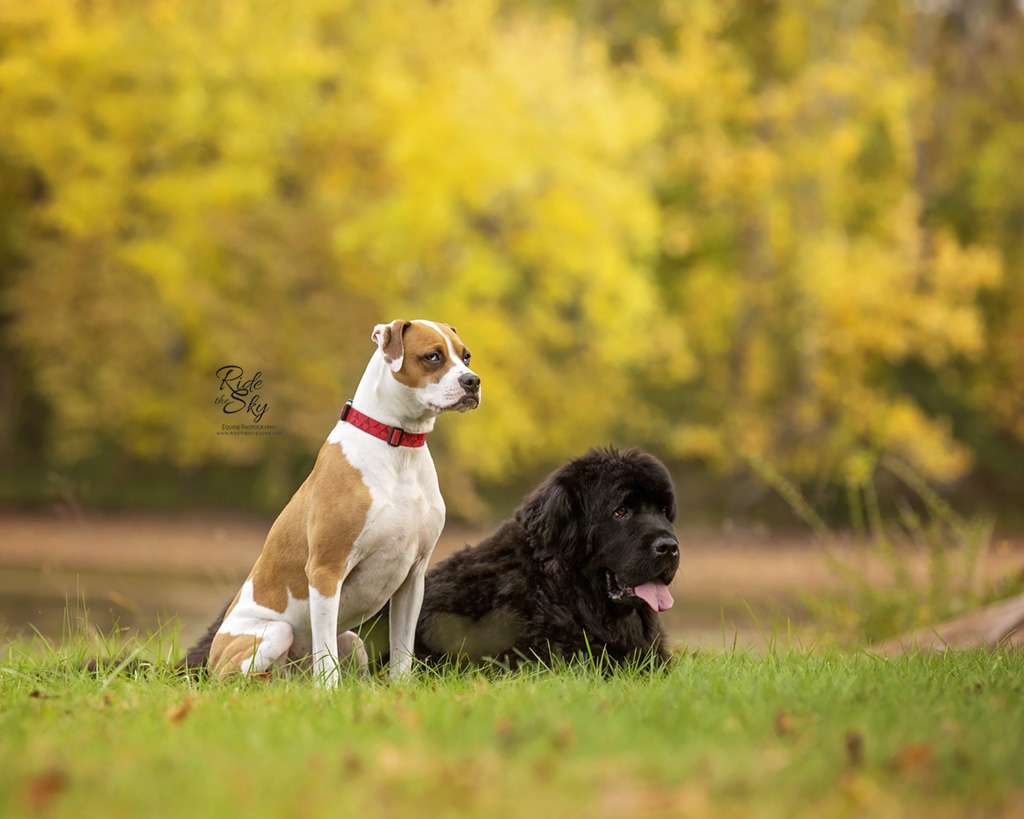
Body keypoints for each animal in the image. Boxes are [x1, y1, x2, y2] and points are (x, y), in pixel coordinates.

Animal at [209, 317, 481, 683]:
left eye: (465, 356)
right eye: (433, 356)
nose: (473, 381)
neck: (400, 447)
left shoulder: (414, 576)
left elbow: (403, 651)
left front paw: (401, 688)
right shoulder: (327, 569)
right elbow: (326, 658)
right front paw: (329, 692)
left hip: (354, 642)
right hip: (275, 633)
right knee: (239, 679)